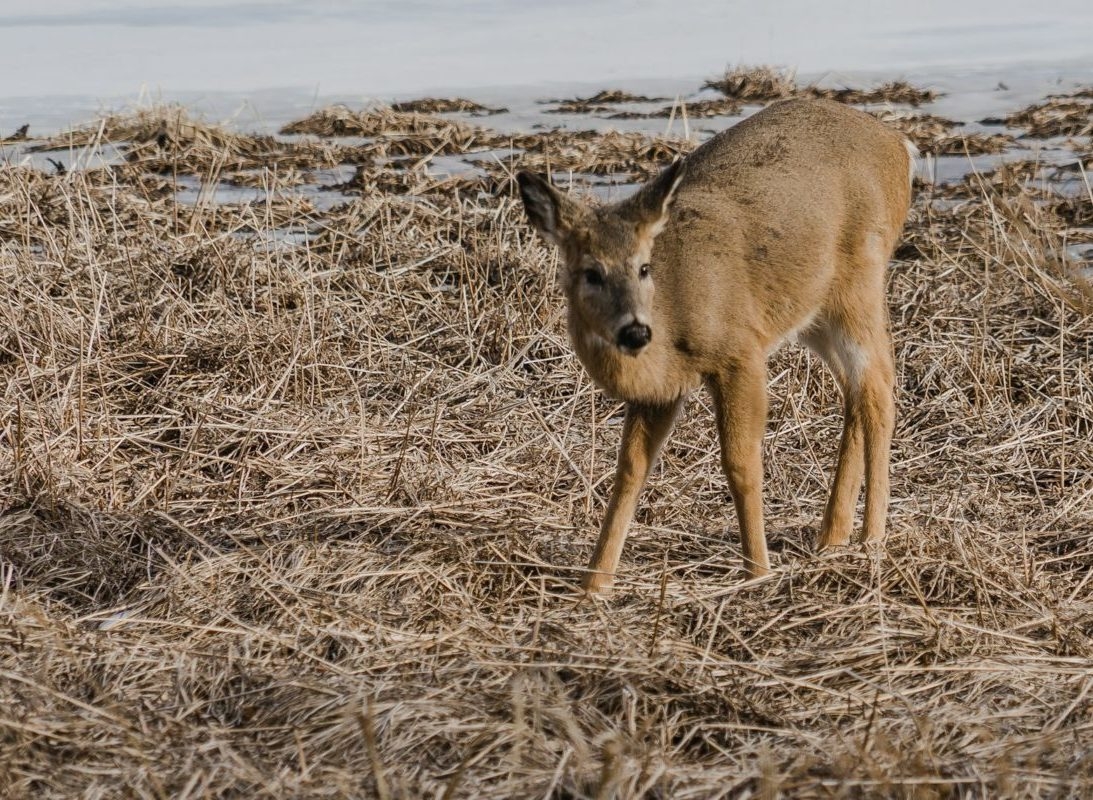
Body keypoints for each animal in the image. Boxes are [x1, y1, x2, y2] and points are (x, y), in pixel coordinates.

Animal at [515, 96, 918, 590]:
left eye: (644, 267)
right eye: (591, 272)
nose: (635, 331)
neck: (672, 320)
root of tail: (898, 145)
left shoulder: (738, 351)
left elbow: (741, 464)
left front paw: (757, 571)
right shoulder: (660, 390)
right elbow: (630, 471)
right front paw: (594, 586)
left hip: (860, 283)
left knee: (877, 387)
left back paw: (871, 539)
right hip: (814, 313)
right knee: (856, 392)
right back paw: (831, 537)